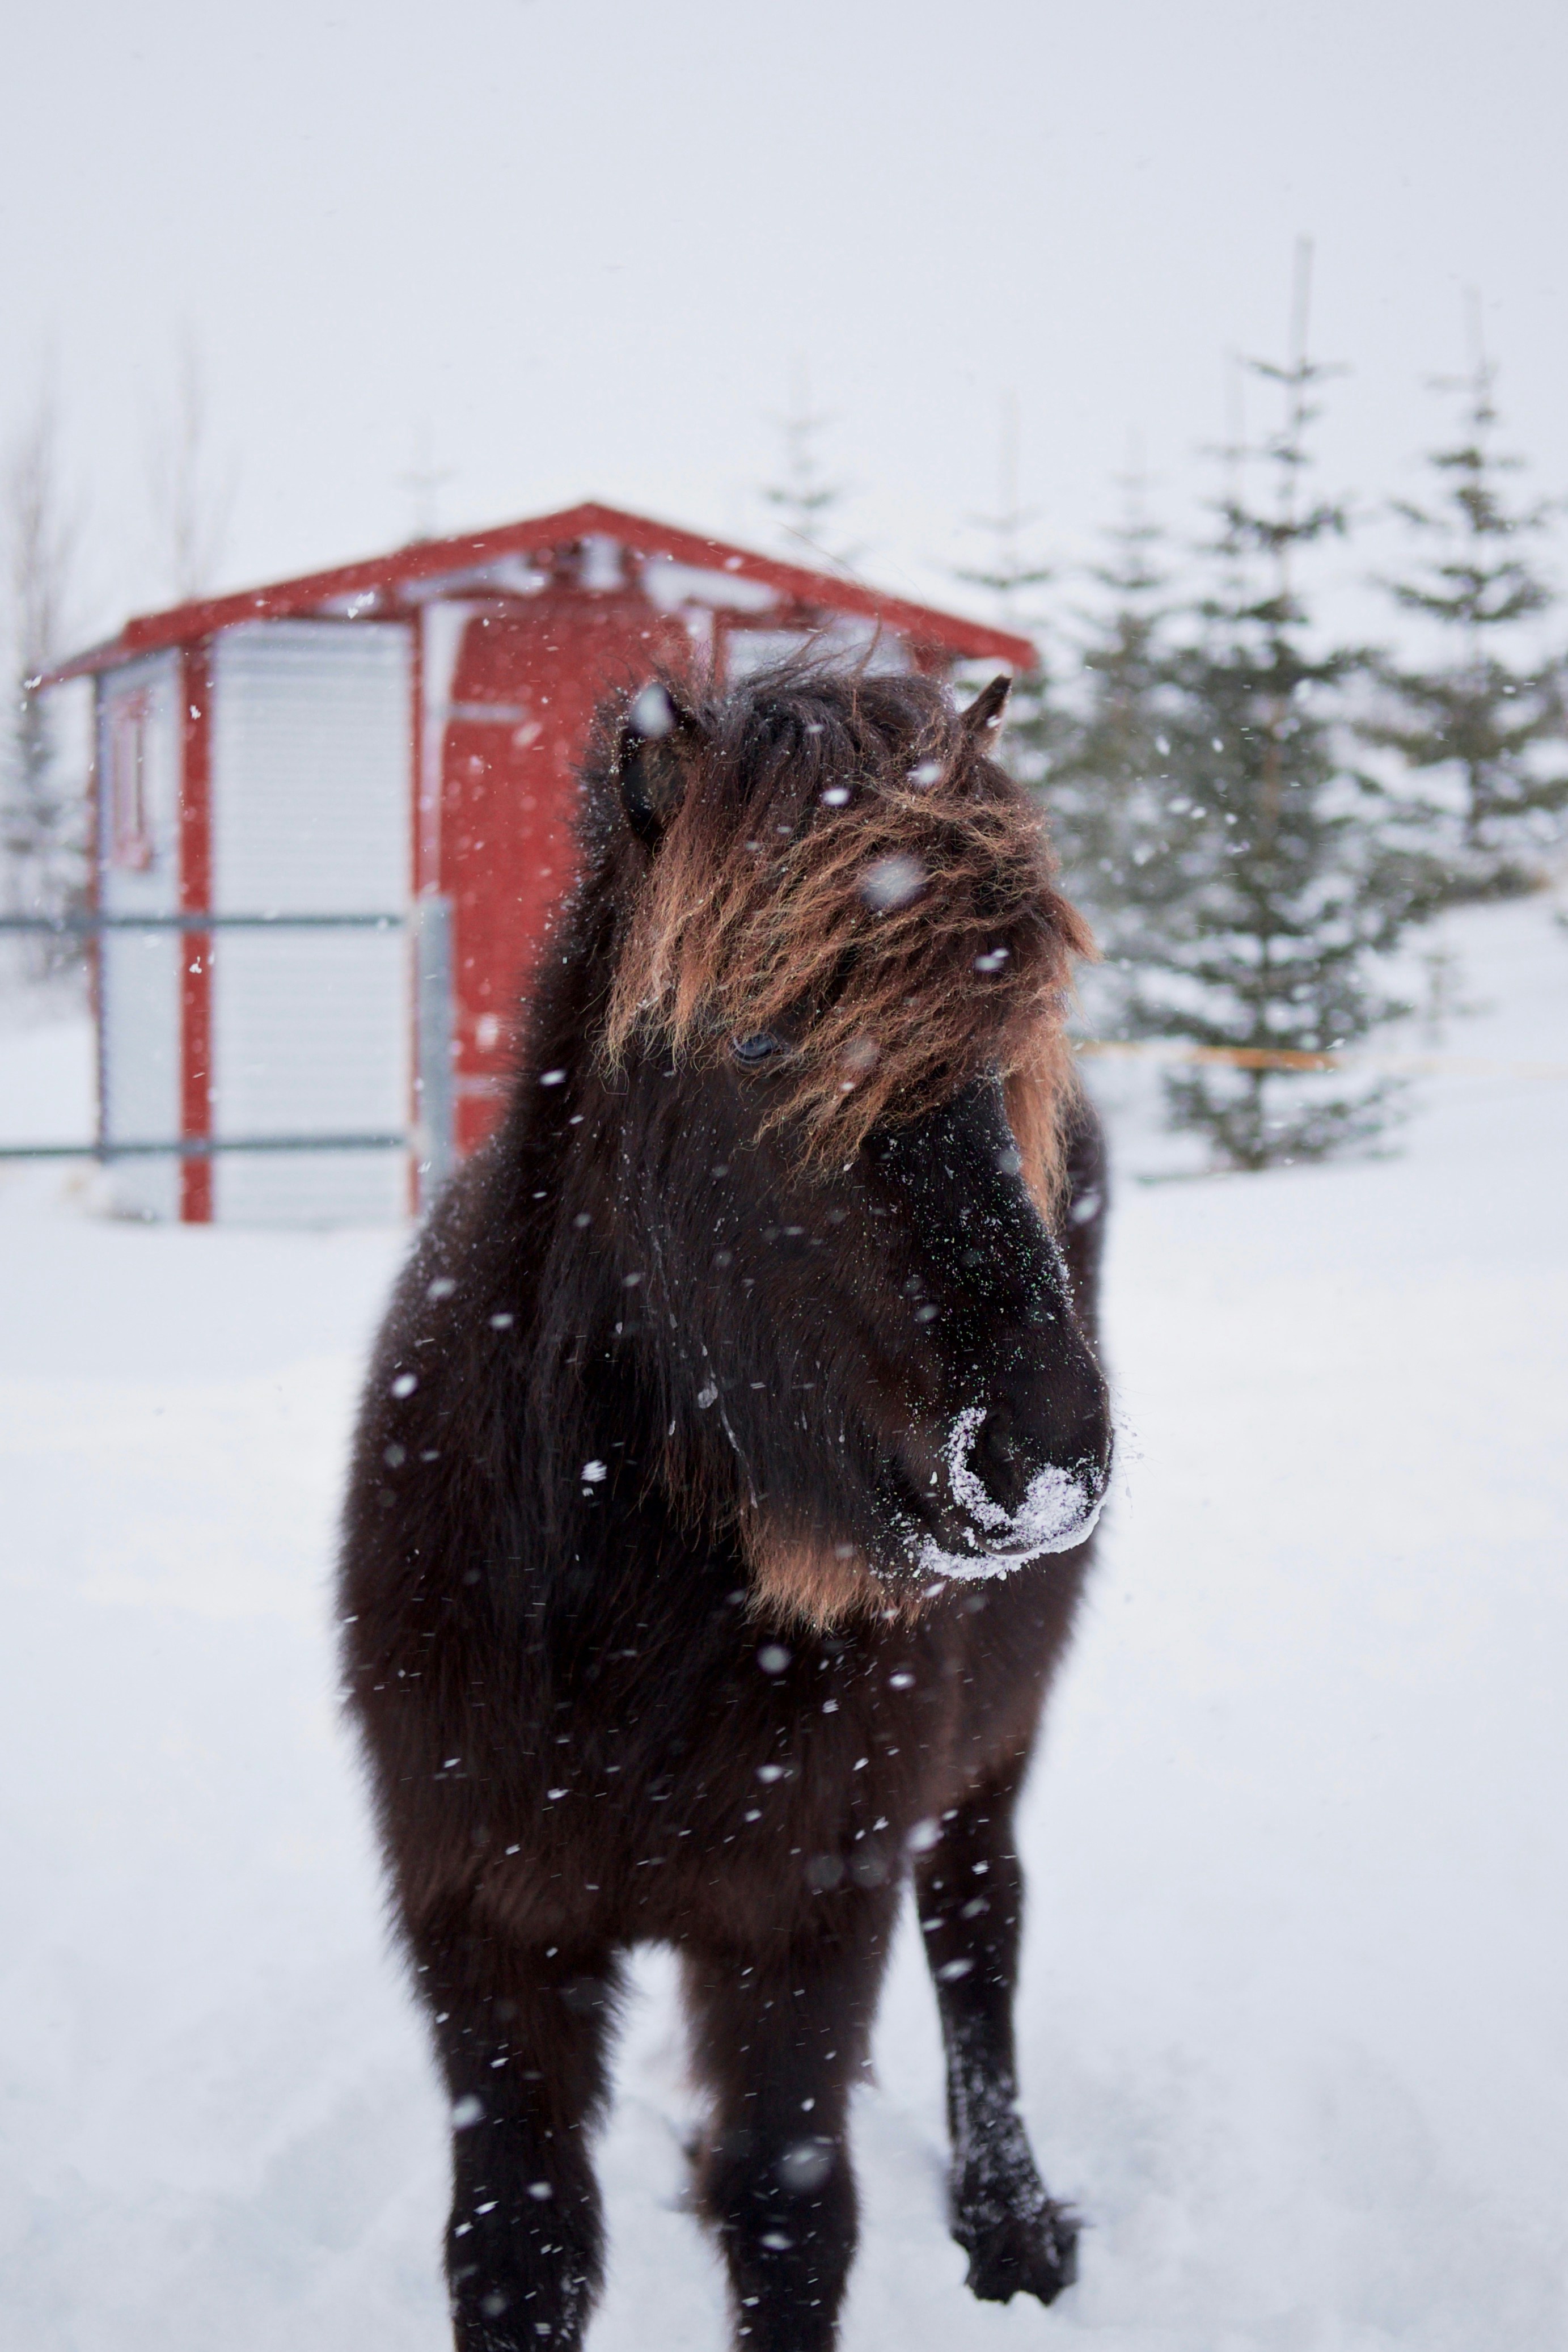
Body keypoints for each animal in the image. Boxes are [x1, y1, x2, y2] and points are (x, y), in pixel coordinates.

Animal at [340, 659, 1114, 2351]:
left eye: (1005, 1040)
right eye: (760, 1042)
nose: (1043, 1466)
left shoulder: (803, 1921)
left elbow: (784, 2213)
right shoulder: (483, 1925)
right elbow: (520, 2241)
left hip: (992, 1746)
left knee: (983, 1924)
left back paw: (1011, 2215)